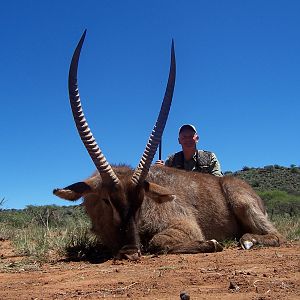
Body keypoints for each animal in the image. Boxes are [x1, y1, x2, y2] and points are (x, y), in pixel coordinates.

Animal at [53, 31, 284, 260]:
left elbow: (157, 242)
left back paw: (248, 240)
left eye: (141, 201)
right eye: (106, 200)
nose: (130, 252)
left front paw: (212, 243)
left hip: (242, 202)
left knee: (277, 235)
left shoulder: (186, 225)